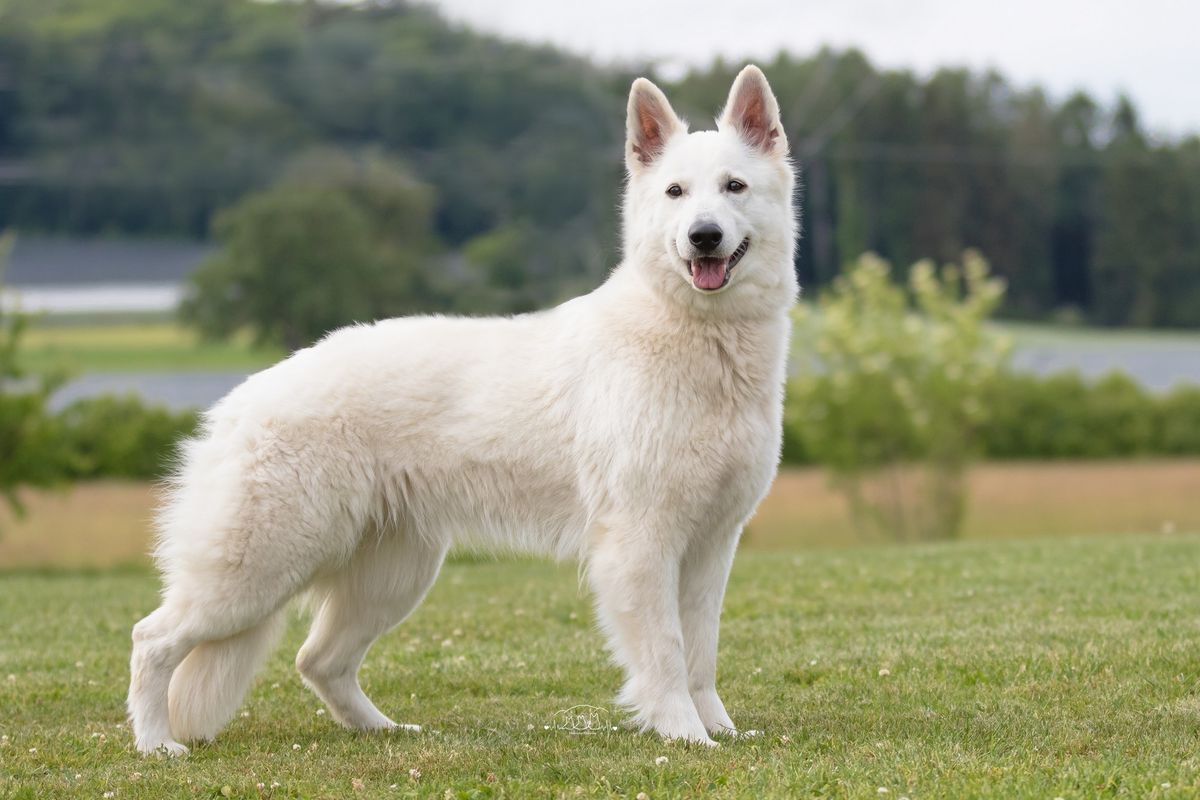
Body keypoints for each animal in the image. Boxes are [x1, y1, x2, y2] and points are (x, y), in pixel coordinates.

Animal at [129, 65, 796, 753]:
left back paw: (385, 730)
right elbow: (665, 653)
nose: (703, 236)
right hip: (257, 571)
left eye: (734, 186)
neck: (699, 337)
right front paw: (685, 735)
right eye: (675, 192)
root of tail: (243, 398)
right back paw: (155, 744)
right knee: (151, 640)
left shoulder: (711, 546)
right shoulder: (641, 544)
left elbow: (701, 655)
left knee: (317, 661)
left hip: (391, 577)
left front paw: (718, 728)